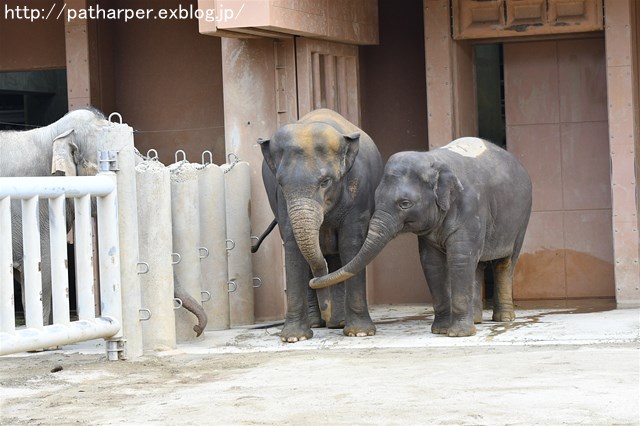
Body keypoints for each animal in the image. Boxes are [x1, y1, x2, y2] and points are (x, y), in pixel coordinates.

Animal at [258, 108, 382, 342]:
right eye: (281, 183)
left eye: (325, 182)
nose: (326, 307)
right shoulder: (280, 202)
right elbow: (292, 245)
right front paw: (294, 338)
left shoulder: (359, 191)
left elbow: (351, 244)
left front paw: (360, 333)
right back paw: (318, 323)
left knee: (338, 258)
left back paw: (337, 322)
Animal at [312, 138, 532, 338]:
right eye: (376, 199)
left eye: (405, 204)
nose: (313, 281)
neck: (432, 159)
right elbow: (431, 263)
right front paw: (440, 331)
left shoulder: (471, 208)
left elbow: (460, 259)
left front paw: (458, 334)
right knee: (478, 265)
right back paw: (477, 319)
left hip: (522, 220)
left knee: (505, 264)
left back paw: (504, 319)